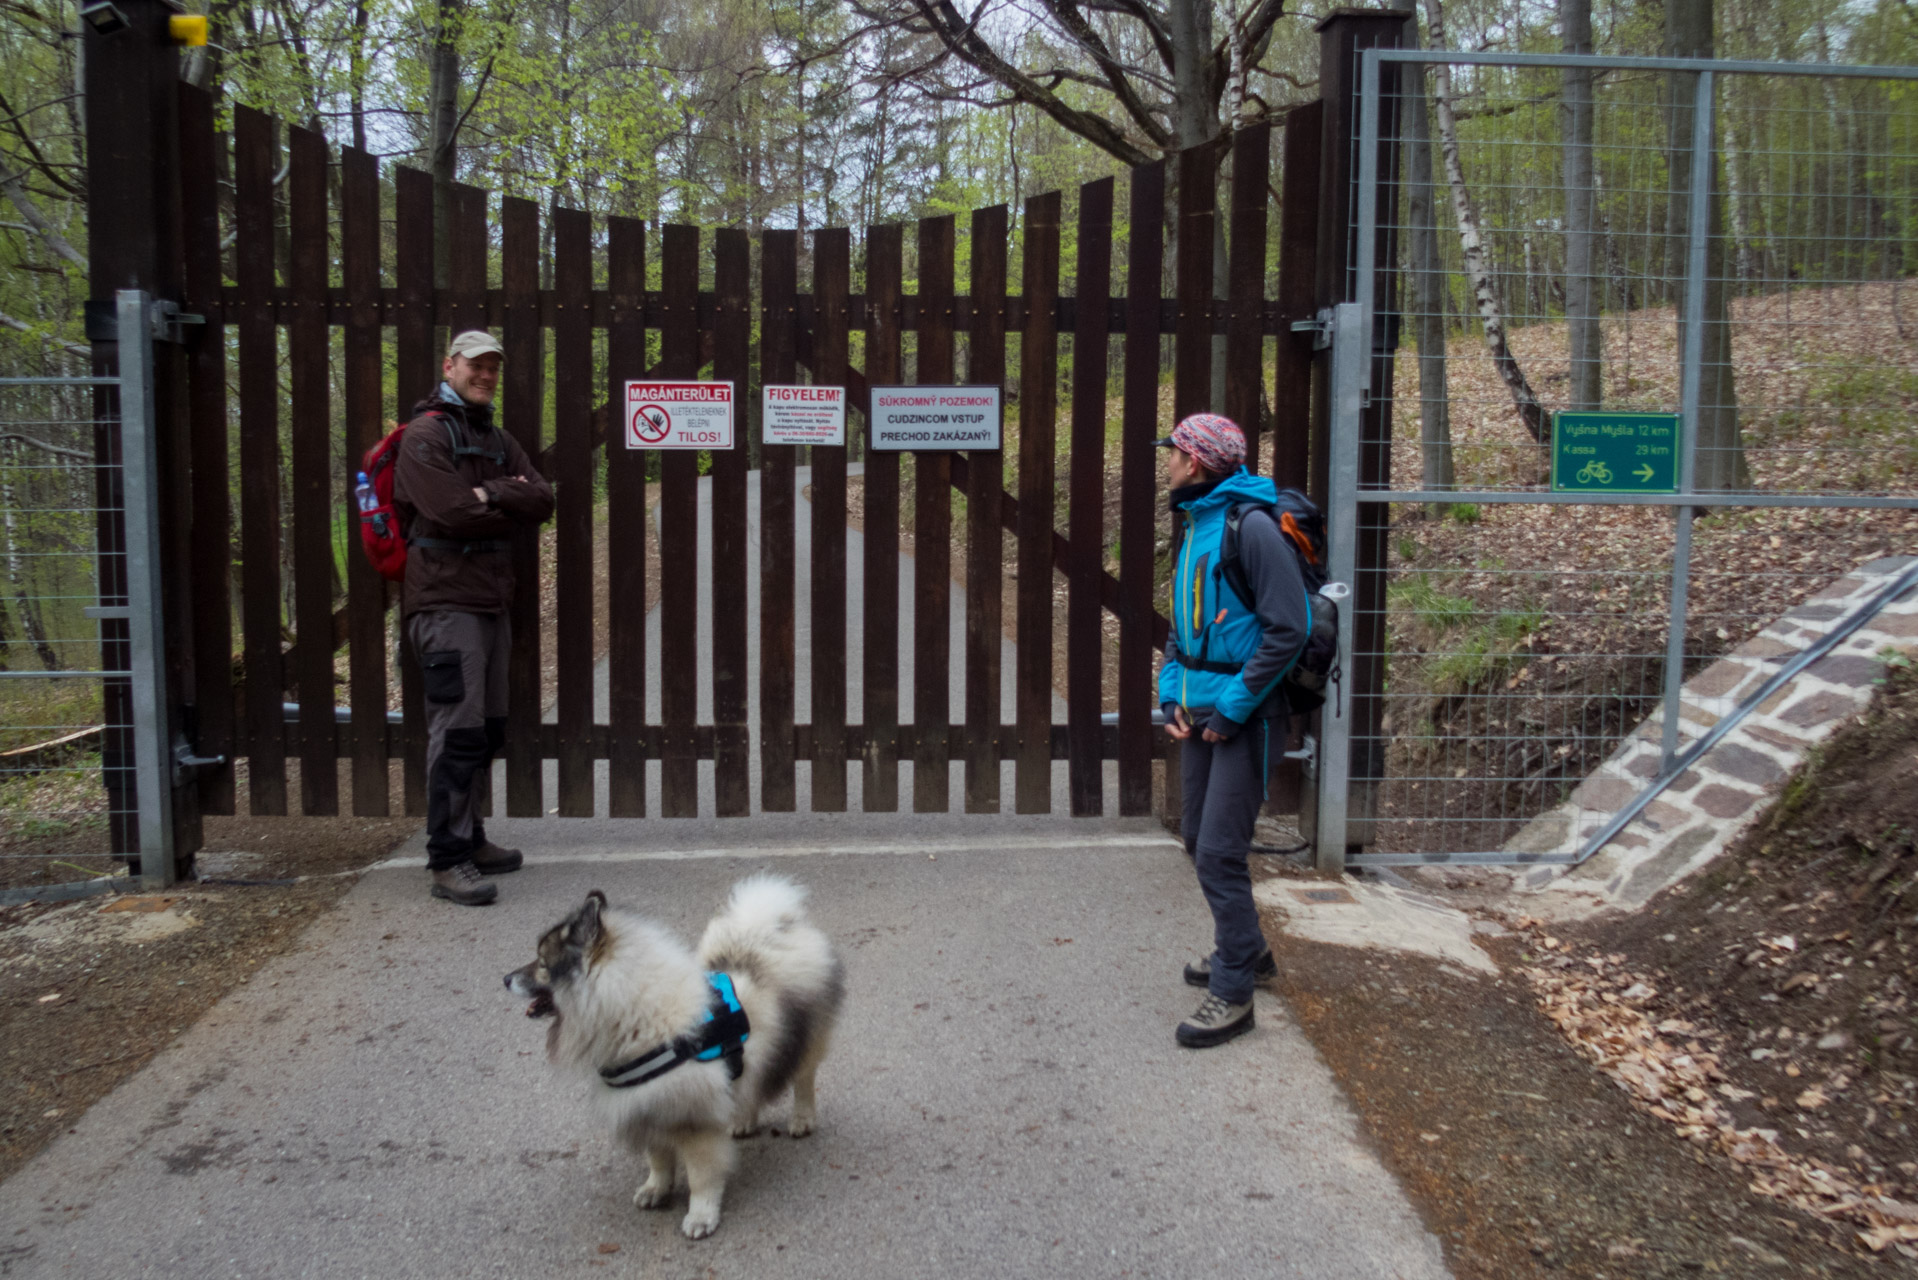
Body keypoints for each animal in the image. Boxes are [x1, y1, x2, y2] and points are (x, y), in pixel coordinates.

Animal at [506, 875, 843, 1235]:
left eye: (542, 964)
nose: (506, 978)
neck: (637, 1020)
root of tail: (770, 928)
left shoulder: (693, 1123)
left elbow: (700, 1178)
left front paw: (701, 1216)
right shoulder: (649, 1107)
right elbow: (658, 1160)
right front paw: (656, 1189)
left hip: (806, 1038)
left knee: (804, 1080)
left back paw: (802, 1120)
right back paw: (742, 1120)